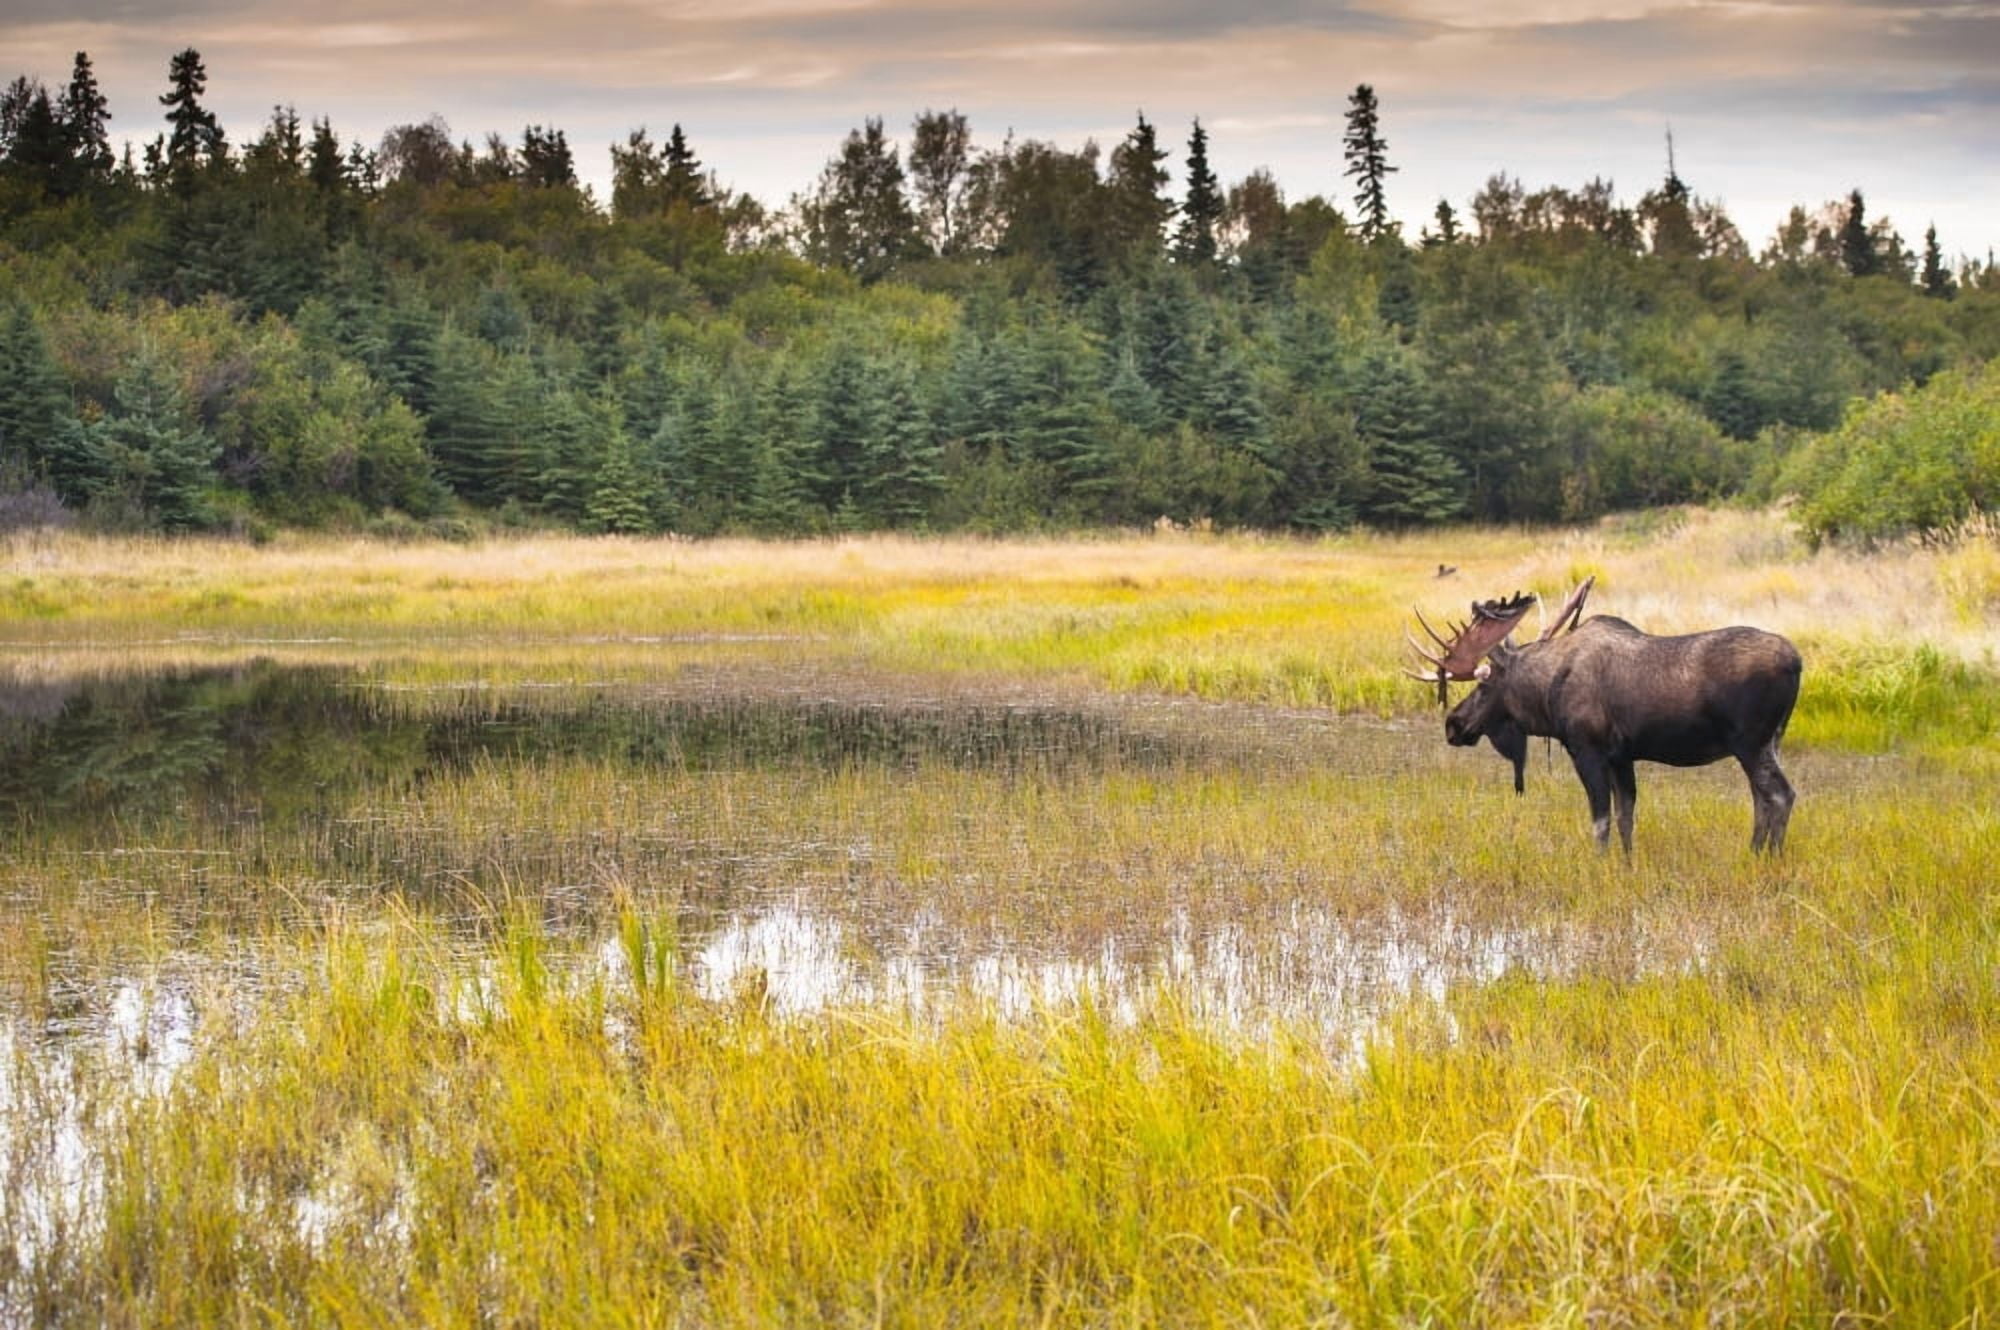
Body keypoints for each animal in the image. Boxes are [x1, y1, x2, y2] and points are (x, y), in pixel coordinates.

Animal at [1408, 578, 1802, 854]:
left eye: (1484, 684)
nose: (1453, 724)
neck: (1545, 697)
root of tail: (1797, 662)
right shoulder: (1621, 756)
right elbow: (1625, 817)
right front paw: (1626, 863)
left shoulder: (1587, 749)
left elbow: (1600, 821)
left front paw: (1600, 865)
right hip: (1771, 740)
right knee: (1761, 799)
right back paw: (1753, 853)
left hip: (1751, 742)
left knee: (1781, 795)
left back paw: (1770, 859)